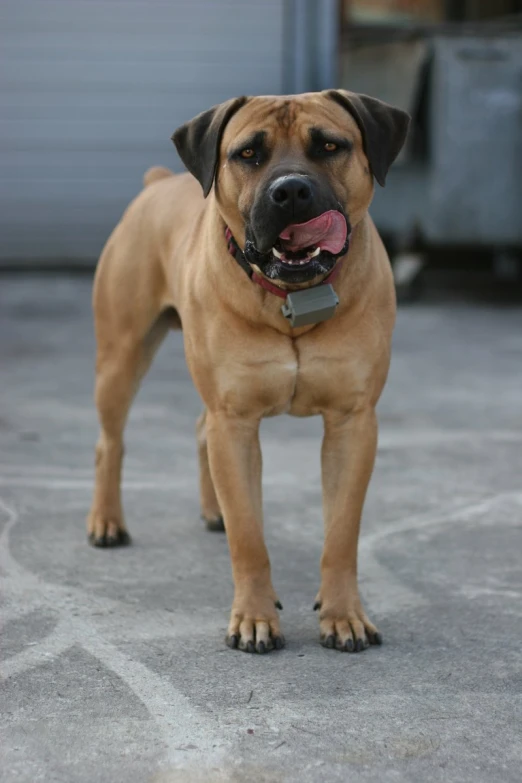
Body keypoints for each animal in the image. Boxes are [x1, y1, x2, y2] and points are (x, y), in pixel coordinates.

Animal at [87, 90, 408, 656]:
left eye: (330, 146)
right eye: (249, 154)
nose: (291, 190)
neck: (295, 295)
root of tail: (155, 183)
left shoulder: (352, 421)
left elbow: (341, 533)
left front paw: (344, 615)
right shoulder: (234, 421)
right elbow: (249, 537)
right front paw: (254, 619)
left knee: (198, 429)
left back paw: (210, 510)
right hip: (122, 356)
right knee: (111, 441)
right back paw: (106, 522)